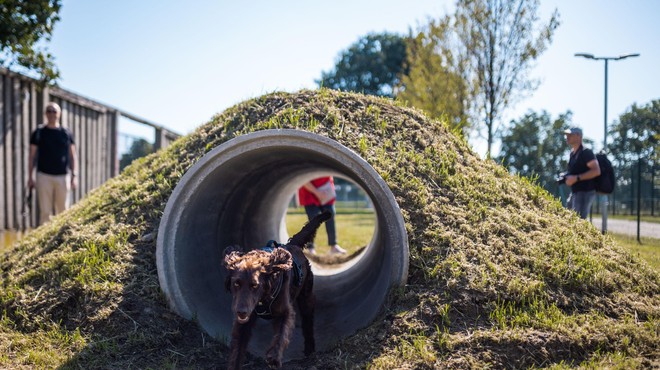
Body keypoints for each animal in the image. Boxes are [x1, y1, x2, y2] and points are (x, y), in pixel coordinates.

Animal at [226, 211, 330, 370]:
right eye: (236, 284)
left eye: (254, 285)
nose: (241, 312)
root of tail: (291, 244)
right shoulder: (244, 321)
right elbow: (238, 347)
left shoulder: (285, 311)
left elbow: (282, 333)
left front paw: (274, 357)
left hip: (306, 297)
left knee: (308, 321)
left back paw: (309, 349)